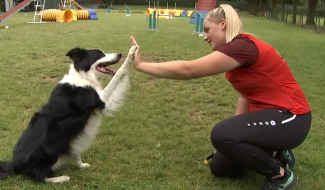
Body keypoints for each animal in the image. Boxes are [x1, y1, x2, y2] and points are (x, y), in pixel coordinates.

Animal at [0, 45, 136, 183]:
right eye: (99, 54)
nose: (119, 54)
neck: (83, 76)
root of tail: (15, 166)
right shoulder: (101, 98)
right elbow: (118, 73)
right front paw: (131, 53)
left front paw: (81, 165)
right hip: (49, 152)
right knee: (38, 176)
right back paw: (61, 178)